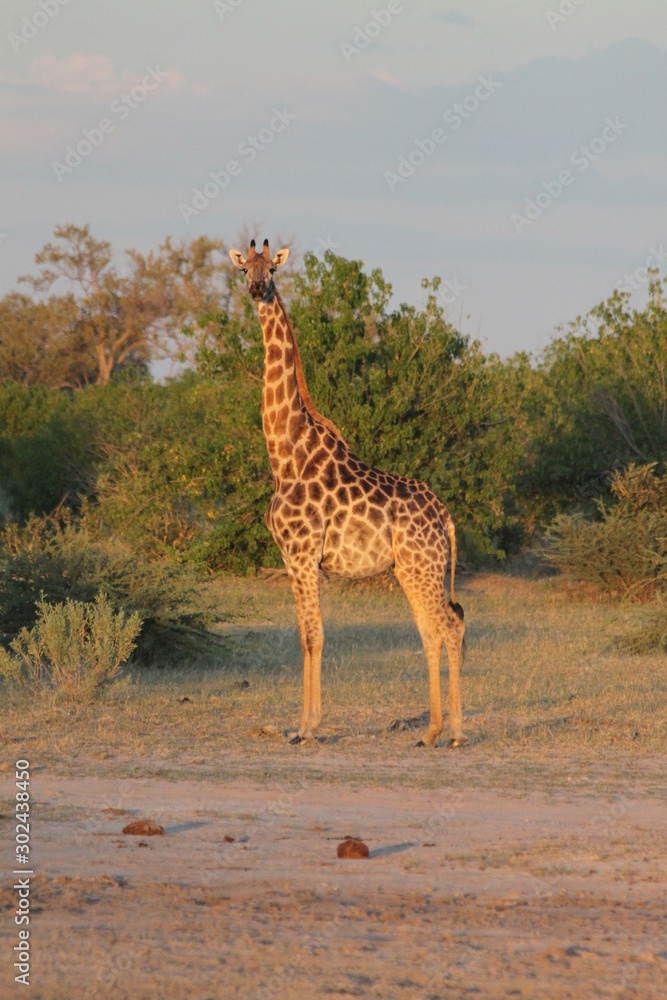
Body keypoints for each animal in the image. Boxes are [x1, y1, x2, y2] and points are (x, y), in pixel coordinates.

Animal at [228, 239, 466, 748]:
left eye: (271, 269)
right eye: (243, 270)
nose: (258, 289)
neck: (284, 453)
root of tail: (445, 517)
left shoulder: (302, 555)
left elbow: (312, 636)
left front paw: (307, 729)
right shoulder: (291, 558)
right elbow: (305, 636)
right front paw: (302, 724)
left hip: (423, 569)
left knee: (450, 626)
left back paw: (456, 733)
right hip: (412, 570)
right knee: (431, 632)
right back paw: (431, 731)